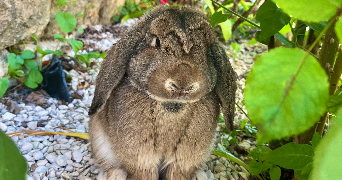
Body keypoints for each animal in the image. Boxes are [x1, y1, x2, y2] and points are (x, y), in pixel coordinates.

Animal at [88, 5, 236, 180]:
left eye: (208, 50)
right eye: (156, 41)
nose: (183, 84)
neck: (171, 105)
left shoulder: (184, 157)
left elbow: (177, 172)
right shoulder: (140, 155)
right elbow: (144, 172)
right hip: (100, 145)